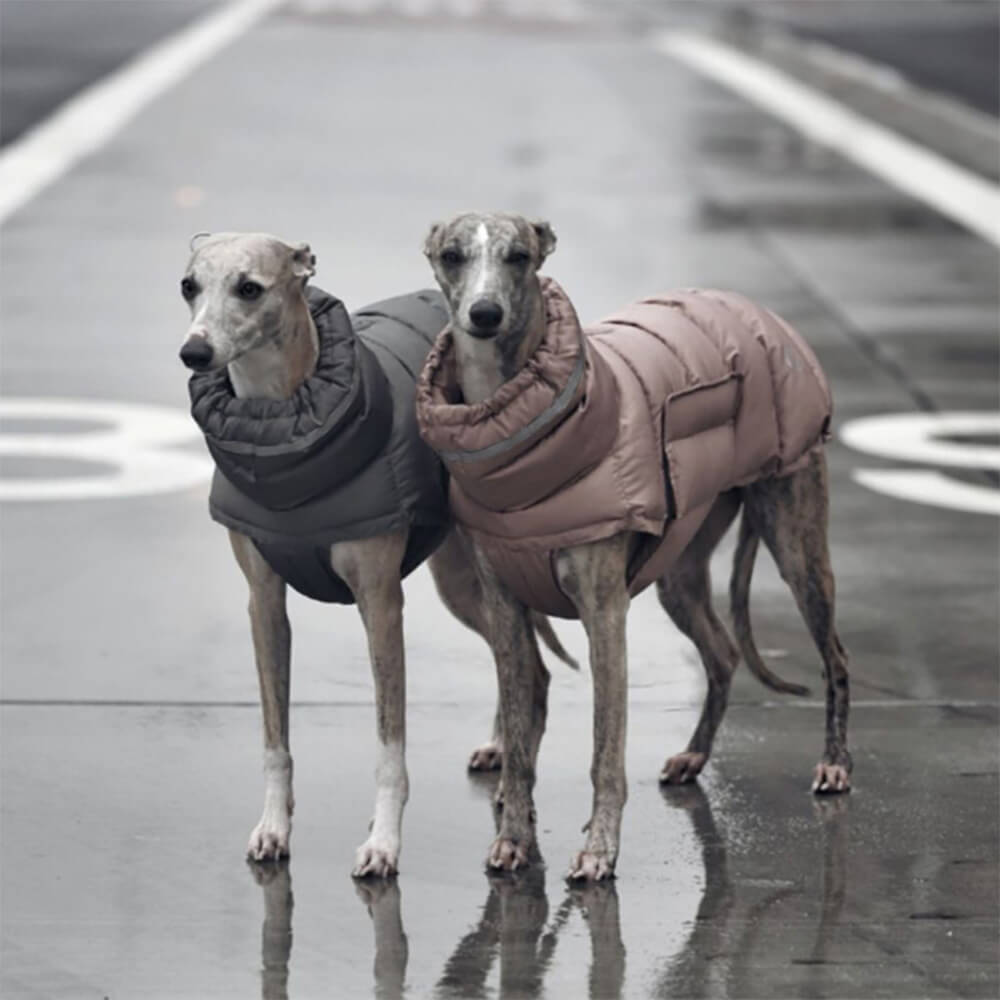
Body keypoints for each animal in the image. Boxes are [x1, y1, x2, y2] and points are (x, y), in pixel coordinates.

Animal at [180, 232, 572, 876]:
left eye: (250, 288)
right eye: (189, 285)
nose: (194, 351)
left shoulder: (381, 604)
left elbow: (391, 746)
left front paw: (384, 842)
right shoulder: (264, 603)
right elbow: (275, 739)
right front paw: (273, 828)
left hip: (468, 579)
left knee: (528, 669)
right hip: (461, 579)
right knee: (526, 669)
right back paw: (502, 753)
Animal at [422, 211, 852, 884]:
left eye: (519, 256)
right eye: (452, 254)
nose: (484, 314)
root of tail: (765, 316)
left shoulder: (604, 613)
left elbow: (606, 751)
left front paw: (599, 851)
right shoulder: (507, 610)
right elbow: (519, 742)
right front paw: (514, 839)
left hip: (797, 544)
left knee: (835, 658)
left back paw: (834, 765)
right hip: (681, 571)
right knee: (723, 654)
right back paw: (695, 755)